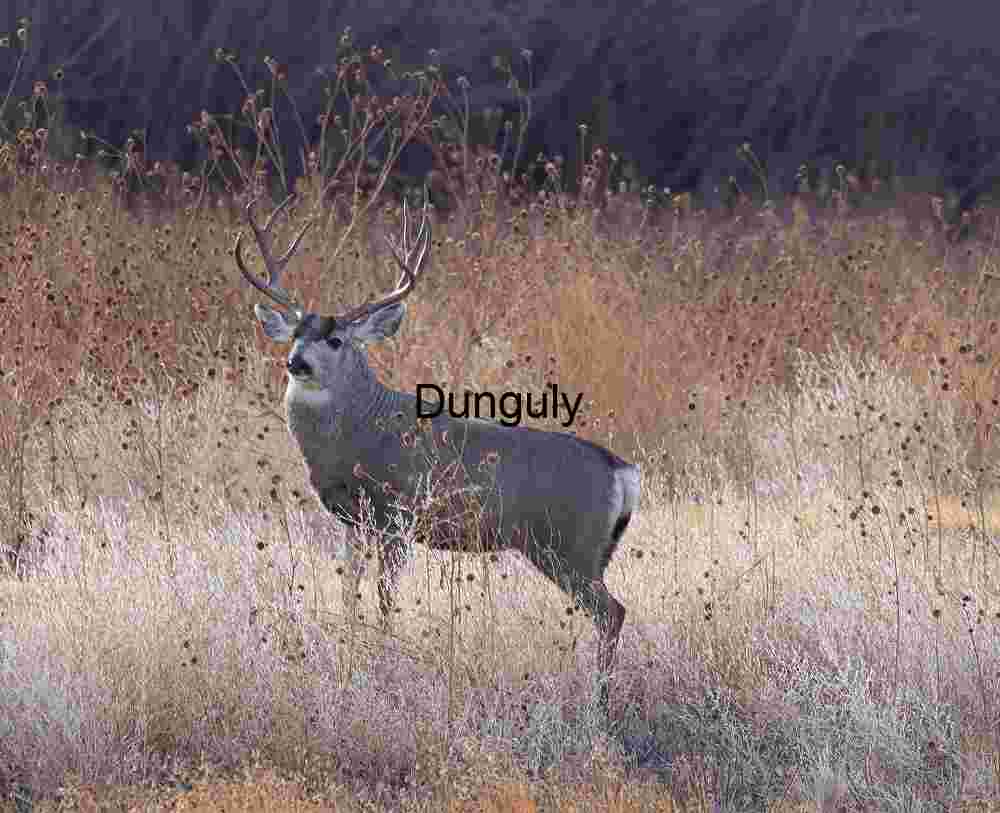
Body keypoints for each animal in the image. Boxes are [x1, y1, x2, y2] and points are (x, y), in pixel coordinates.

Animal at [234, 194, 640, 696]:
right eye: (294, 334)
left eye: (335, 338)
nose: (296, 362)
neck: (360, 434)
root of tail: (620, 470)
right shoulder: (352, 520)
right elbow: (348, 594)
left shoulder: (398, 513)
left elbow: (386, 599)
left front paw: (384, 660)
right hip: (587, 551)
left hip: (567, 544)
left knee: (611, 612)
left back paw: (598, 699)